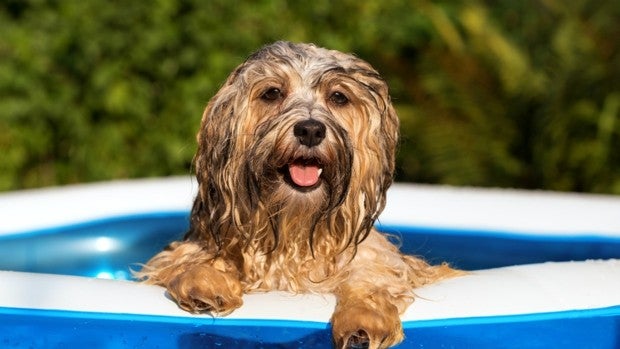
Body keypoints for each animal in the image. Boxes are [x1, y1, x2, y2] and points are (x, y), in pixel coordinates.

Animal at [140, 42, 458, 346]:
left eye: (338, 97)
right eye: (272, 93)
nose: (310, 130)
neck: (293, 228)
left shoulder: (376, 259)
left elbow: (373, 276)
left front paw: (364, 319)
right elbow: (187, 260)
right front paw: (204, 281)